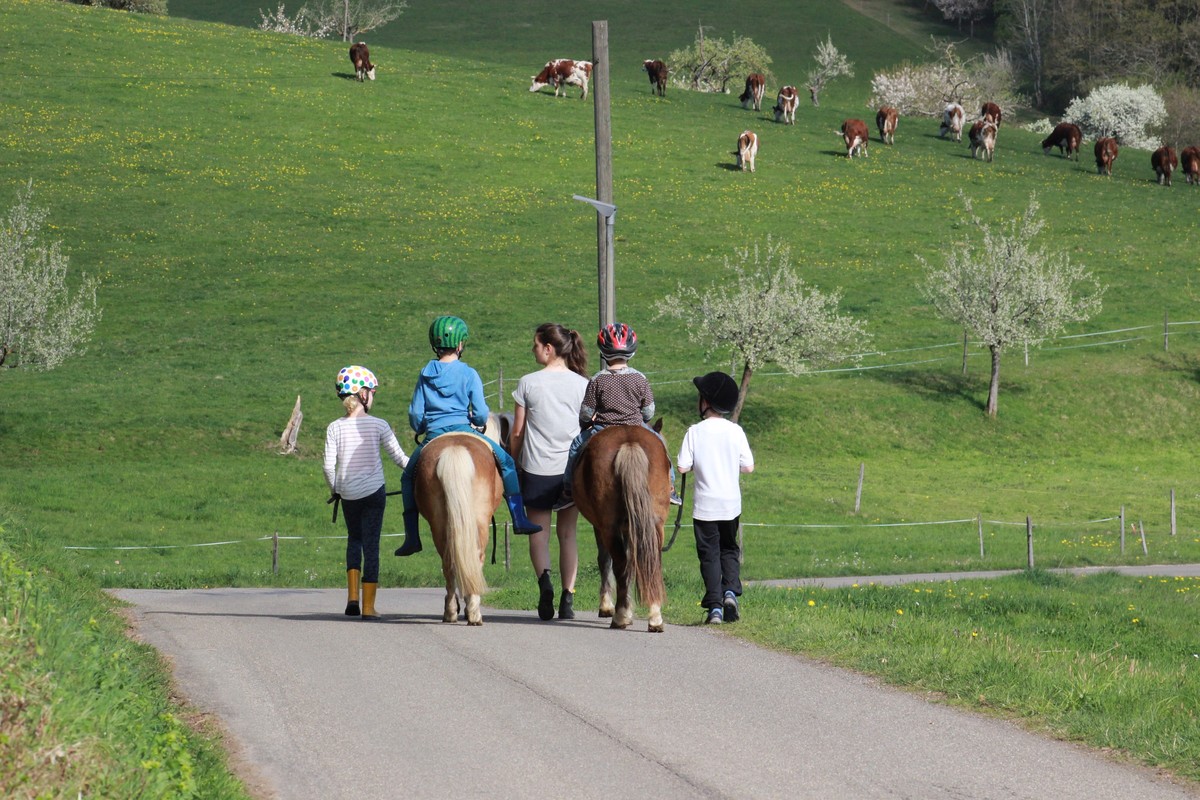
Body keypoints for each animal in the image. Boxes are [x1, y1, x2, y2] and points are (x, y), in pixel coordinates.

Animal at [413, 418, 504, 625]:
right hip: (480, 521)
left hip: (439, 523)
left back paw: (452, 611)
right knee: (475, 557)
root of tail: (454, 450)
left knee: (448, 561)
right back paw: (471, 612)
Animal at [573, 424, 671, 632]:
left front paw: (607, 606)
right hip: (655, 526)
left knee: (619, 565)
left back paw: (620, 616)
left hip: (609, 528)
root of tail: (629, 443)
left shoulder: (600, 527)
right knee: (652, 564)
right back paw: (655, 618)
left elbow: (605, 561)